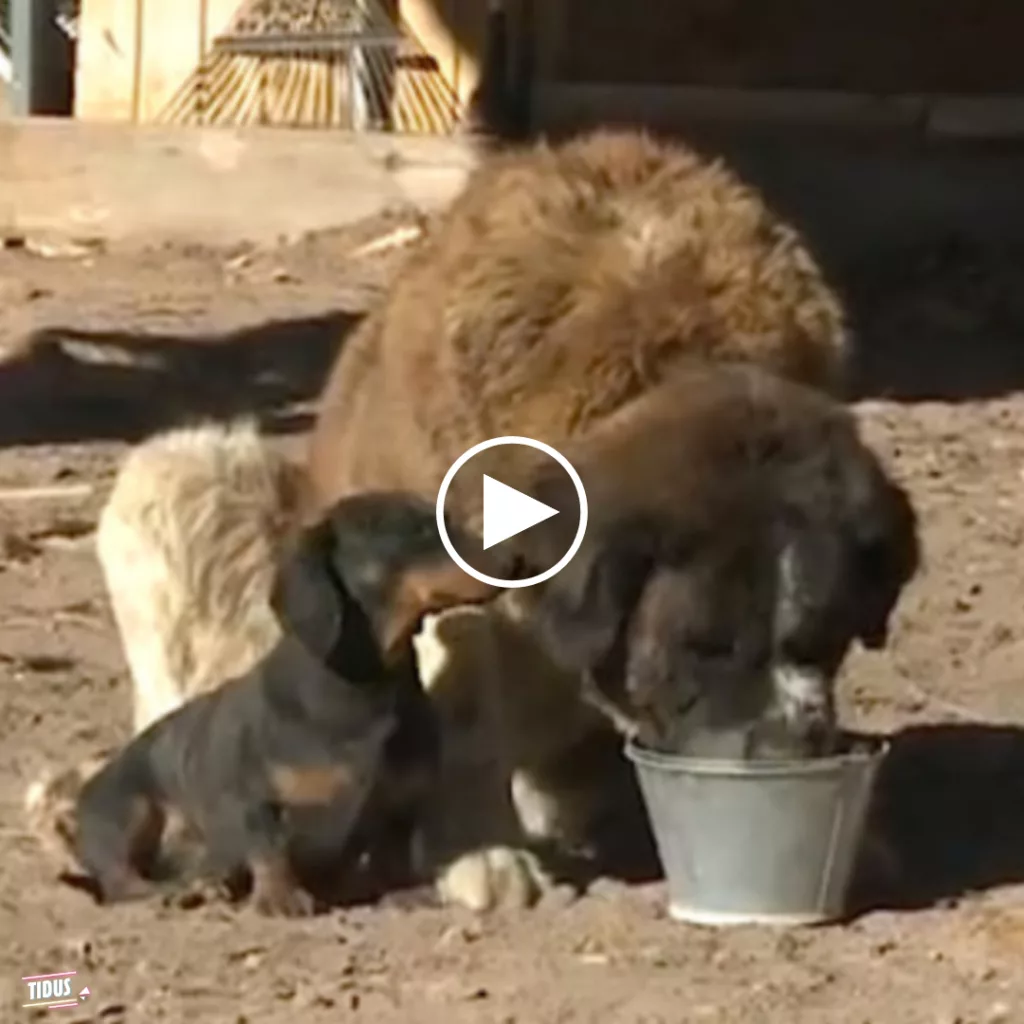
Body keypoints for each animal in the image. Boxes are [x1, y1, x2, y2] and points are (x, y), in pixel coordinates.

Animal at [28, 130, 888, 913]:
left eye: (829, 637)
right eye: (704, 647)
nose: (792, 744)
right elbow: (469, 699)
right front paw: (481, 856)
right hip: (183, 477)